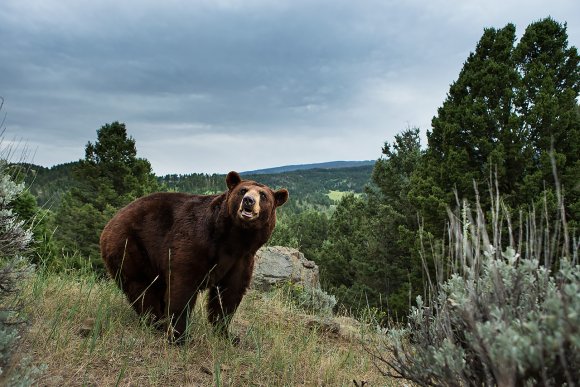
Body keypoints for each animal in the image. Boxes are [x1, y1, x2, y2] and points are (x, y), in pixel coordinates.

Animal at [102, 171, 290, 342]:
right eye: (243, 190)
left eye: (263, 195)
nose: (248, 201)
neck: (234, 238)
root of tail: (111, 222)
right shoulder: (196, 241)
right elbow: (183, 285)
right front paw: (179, 335)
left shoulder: (242, 258)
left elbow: (229, 293)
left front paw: (227, 334)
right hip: (130, 246)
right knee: (141, 287)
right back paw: (156, 322)